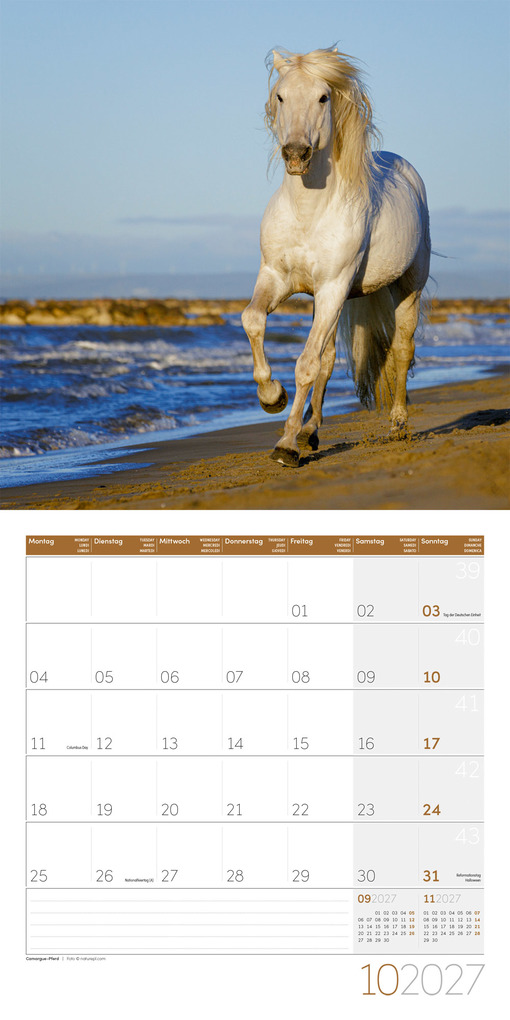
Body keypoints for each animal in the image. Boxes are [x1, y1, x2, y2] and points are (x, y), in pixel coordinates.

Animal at [241, 46, 431, 466]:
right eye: (280, 96)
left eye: (323, 97)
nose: (296, 154)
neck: (308, 212)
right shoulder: (277, 278)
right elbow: (253, 320)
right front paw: (272, 397)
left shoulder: (333, 287)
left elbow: (306, 364)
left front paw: (285, 446)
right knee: (329, 358)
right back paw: (311, 430)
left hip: (406, 287)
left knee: (402, 347)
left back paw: (397, 423)